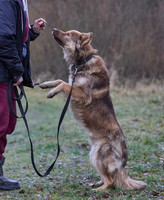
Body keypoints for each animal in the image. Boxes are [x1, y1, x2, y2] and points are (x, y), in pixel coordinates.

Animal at [39, 28, 147, 191]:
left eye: (68, 34)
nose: (53, 29)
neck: (83, 61)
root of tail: (122, 166)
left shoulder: (82, 94)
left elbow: (63, 84)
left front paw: (52, 92)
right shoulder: (73, 86)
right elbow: (59, 80)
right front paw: (46, 85)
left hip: (98, 156)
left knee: (110, 182)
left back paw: (97, 190)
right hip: (92, 156)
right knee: (107, 178)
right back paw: (95, 183)